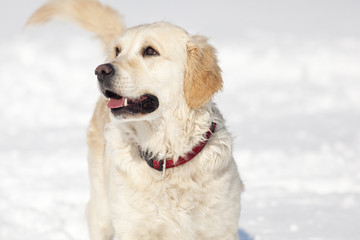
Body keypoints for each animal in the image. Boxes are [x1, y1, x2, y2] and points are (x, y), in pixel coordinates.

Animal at [26, 0, 243, 239]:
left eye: (150, 51)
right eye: (118, 51)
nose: (101, 70)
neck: (167, 156)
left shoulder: (220, 227)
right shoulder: (132, 226)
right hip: (102, 209)